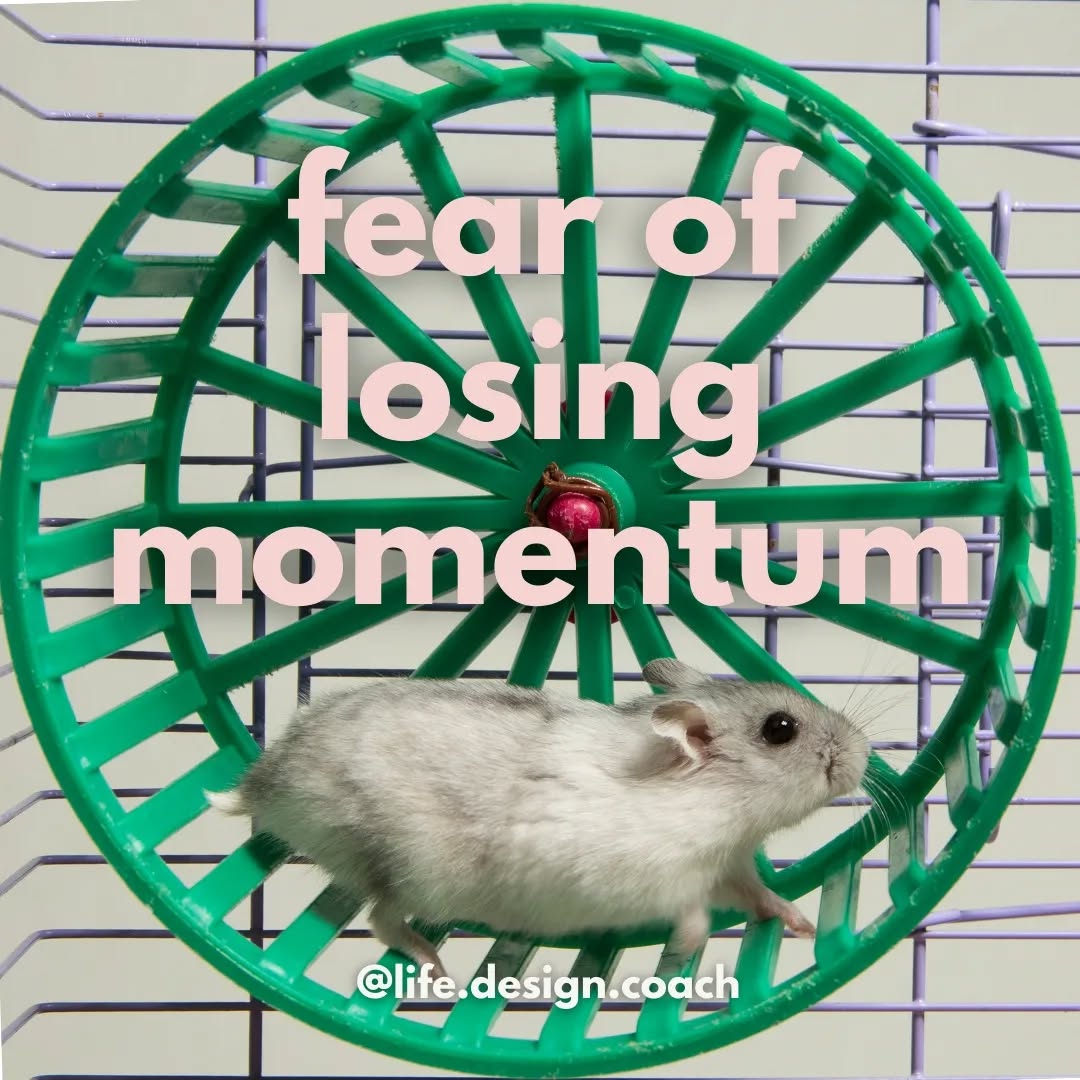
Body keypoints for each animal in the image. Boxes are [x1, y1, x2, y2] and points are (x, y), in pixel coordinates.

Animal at [206, 658, 869, 979]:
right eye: (780, 730)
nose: (864, 752)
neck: (715, 807)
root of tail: (265, 781)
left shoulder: (730, 865)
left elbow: (762, 896)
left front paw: (805, 925)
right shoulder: (655, 878)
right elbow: (693, 918)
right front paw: (679, 958)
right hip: (412, 870)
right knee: (381, 919)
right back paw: (436, 967)